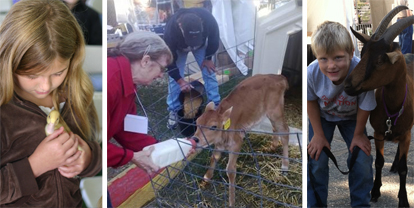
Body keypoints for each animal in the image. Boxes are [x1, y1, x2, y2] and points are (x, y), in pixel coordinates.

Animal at [190, 73, 290, 206]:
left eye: (213, 126)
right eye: (197, 122)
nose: (195, 139)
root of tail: (279, 76)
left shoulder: (237, 142)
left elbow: (230, 170)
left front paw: (231, 201)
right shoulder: (219, 144)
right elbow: (213, 158)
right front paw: (206, 179)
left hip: (276, 111)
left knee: (285, 131)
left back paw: (285, 165)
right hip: (270, 113)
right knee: (275, 128)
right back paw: (272, 147)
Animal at [342, 5, 414, 208]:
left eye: (381, 60)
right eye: (363, 53)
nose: (347, 85)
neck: (394, 109)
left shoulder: (406, 134)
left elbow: (404, 168)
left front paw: (403, 200)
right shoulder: (378, 133)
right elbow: (379, 162)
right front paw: (374, 191)